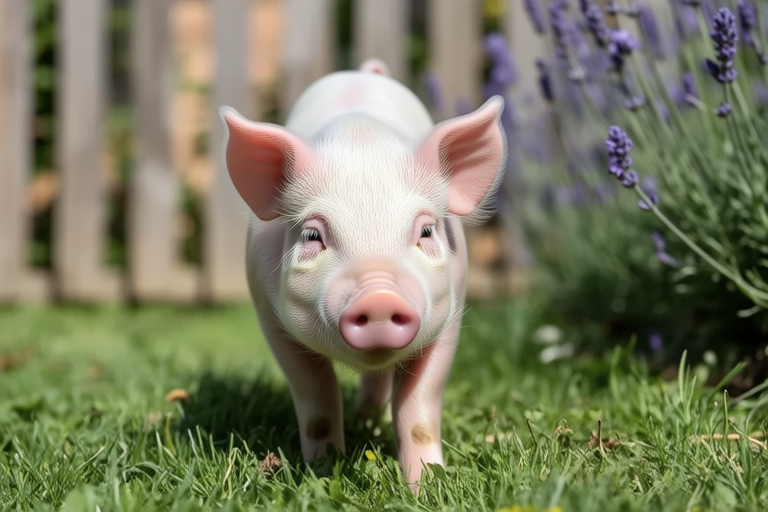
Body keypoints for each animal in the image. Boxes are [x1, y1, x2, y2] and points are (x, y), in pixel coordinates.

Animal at [220, 58, 506, 485]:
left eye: (425, 231)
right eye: (312, 235)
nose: (379, 296)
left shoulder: (452, 316)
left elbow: (419, 409)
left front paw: (427, 485)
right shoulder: (270, 318)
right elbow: (316, 398)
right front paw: (324, 471)